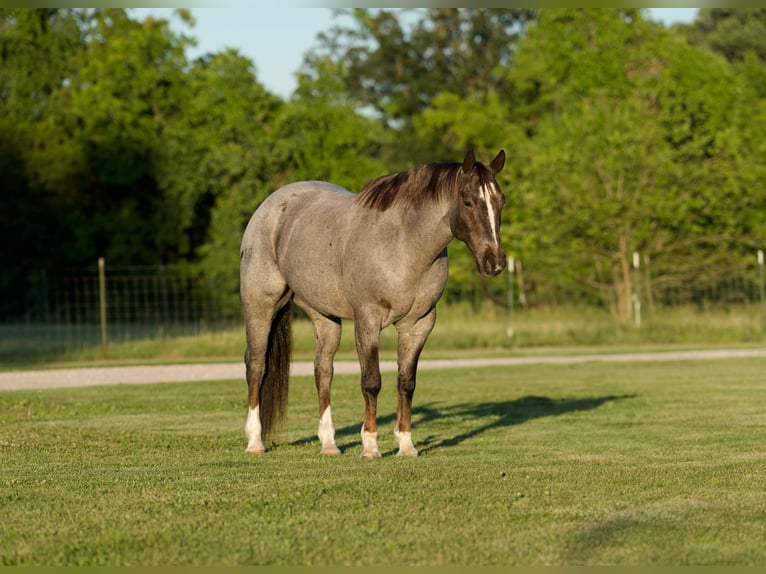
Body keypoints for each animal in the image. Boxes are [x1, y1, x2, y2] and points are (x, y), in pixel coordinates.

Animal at [239, 150, 507, 458]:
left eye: (501, 200)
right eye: (467, 201)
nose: (494, 263)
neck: (403, 244)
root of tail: (270, 205)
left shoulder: (419, 324)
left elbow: (406, 382)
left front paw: (406, 444)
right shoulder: (367, 321)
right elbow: (371, 382)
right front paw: (370, 446)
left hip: (324, 317)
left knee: (323, 371)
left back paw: (329, 444)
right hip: (260, 309)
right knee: (257, 366)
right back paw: (255, 441)